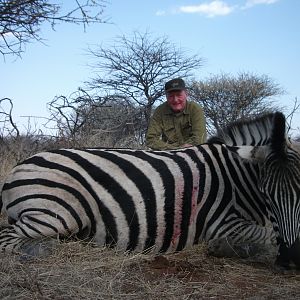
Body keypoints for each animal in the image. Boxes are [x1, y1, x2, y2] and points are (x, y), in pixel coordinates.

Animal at [0, 110, 298, 270]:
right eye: (266, 194)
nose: (292, 260)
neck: (235, 176)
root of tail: (17, 168)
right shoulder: (221, 222)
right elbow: (268, 236)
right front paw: (223, 248)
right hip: (61, 211)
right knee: (8, 239)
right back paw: (51, 248)